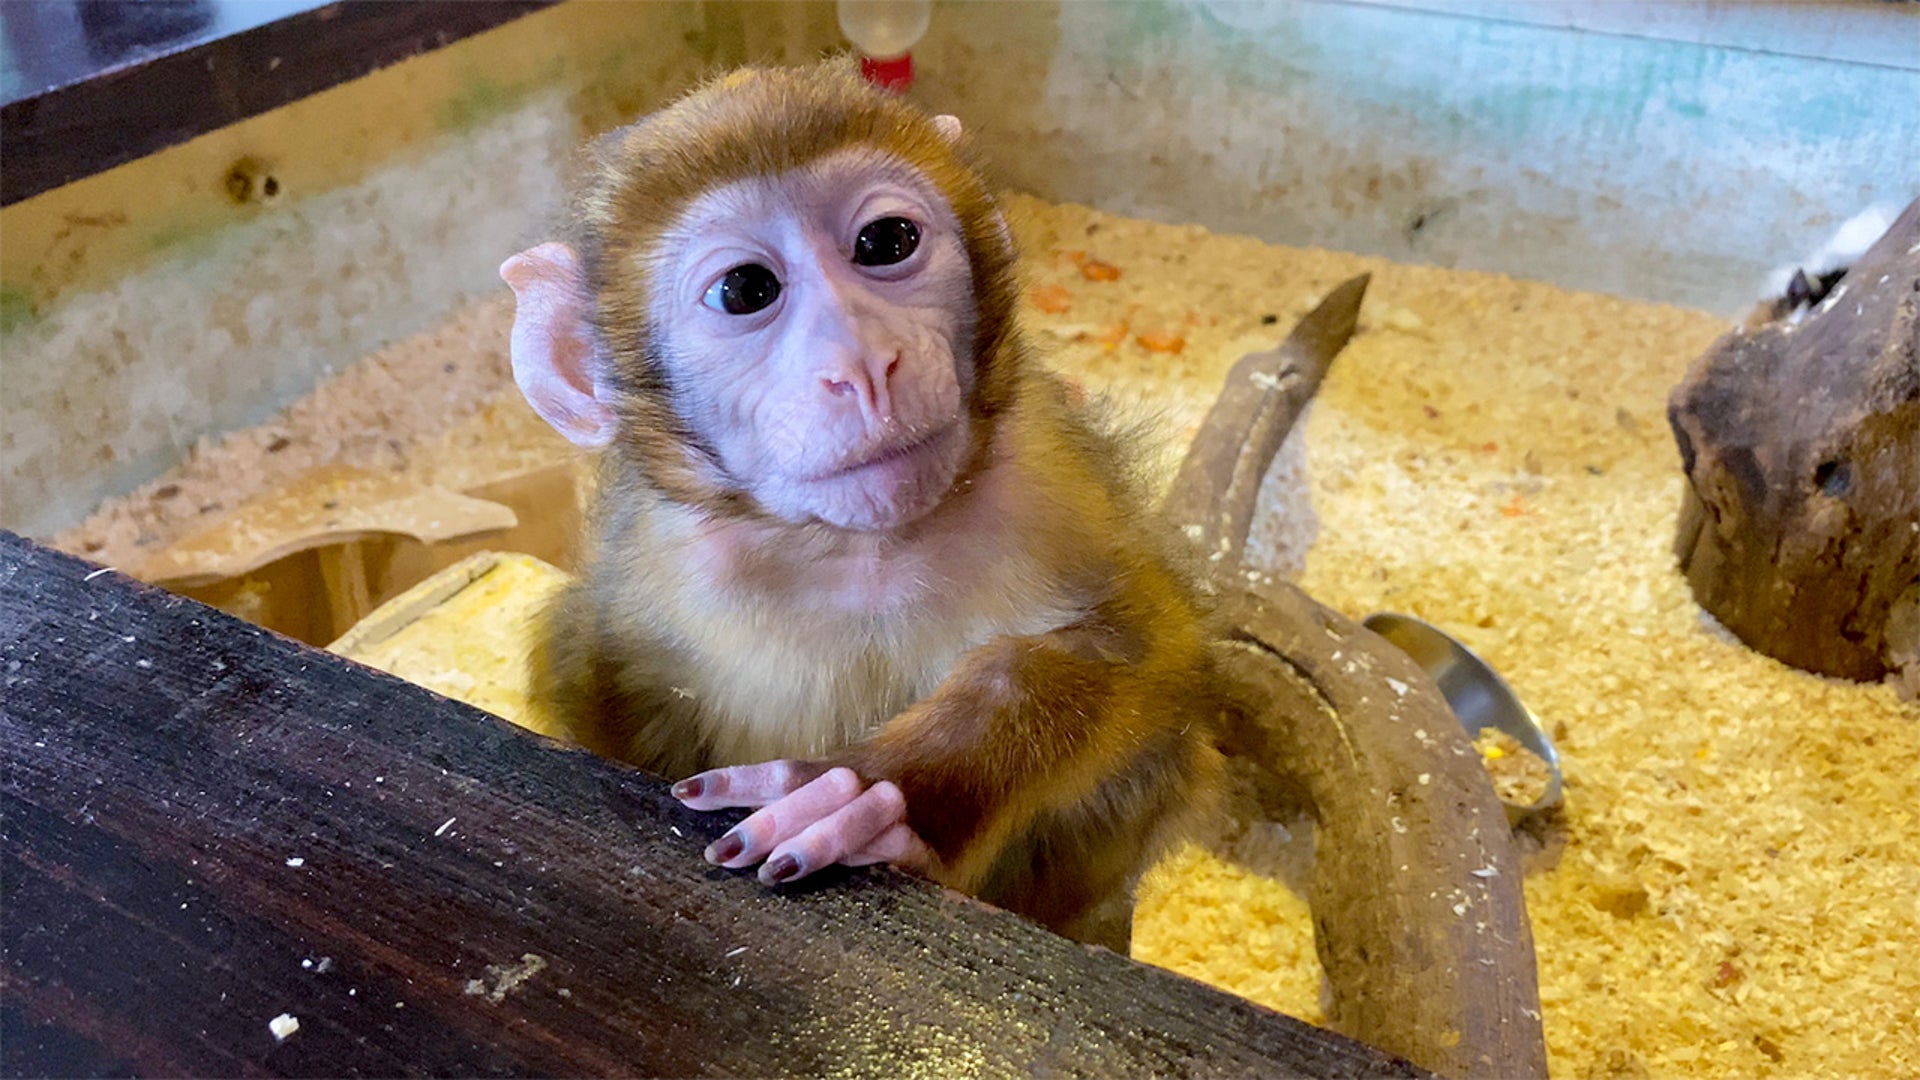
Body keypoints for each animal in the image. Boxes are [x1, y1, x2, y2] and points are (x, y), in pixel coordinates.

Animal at [499, 60, 1224, 951]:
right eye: (745, 290)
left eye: (885, 243)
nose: (866, 362)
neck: (856, 550)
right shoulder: (649, 573)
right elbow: (581, 668)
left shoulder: (1047, 474)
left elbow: (1157, 648)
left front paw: (876, 796)